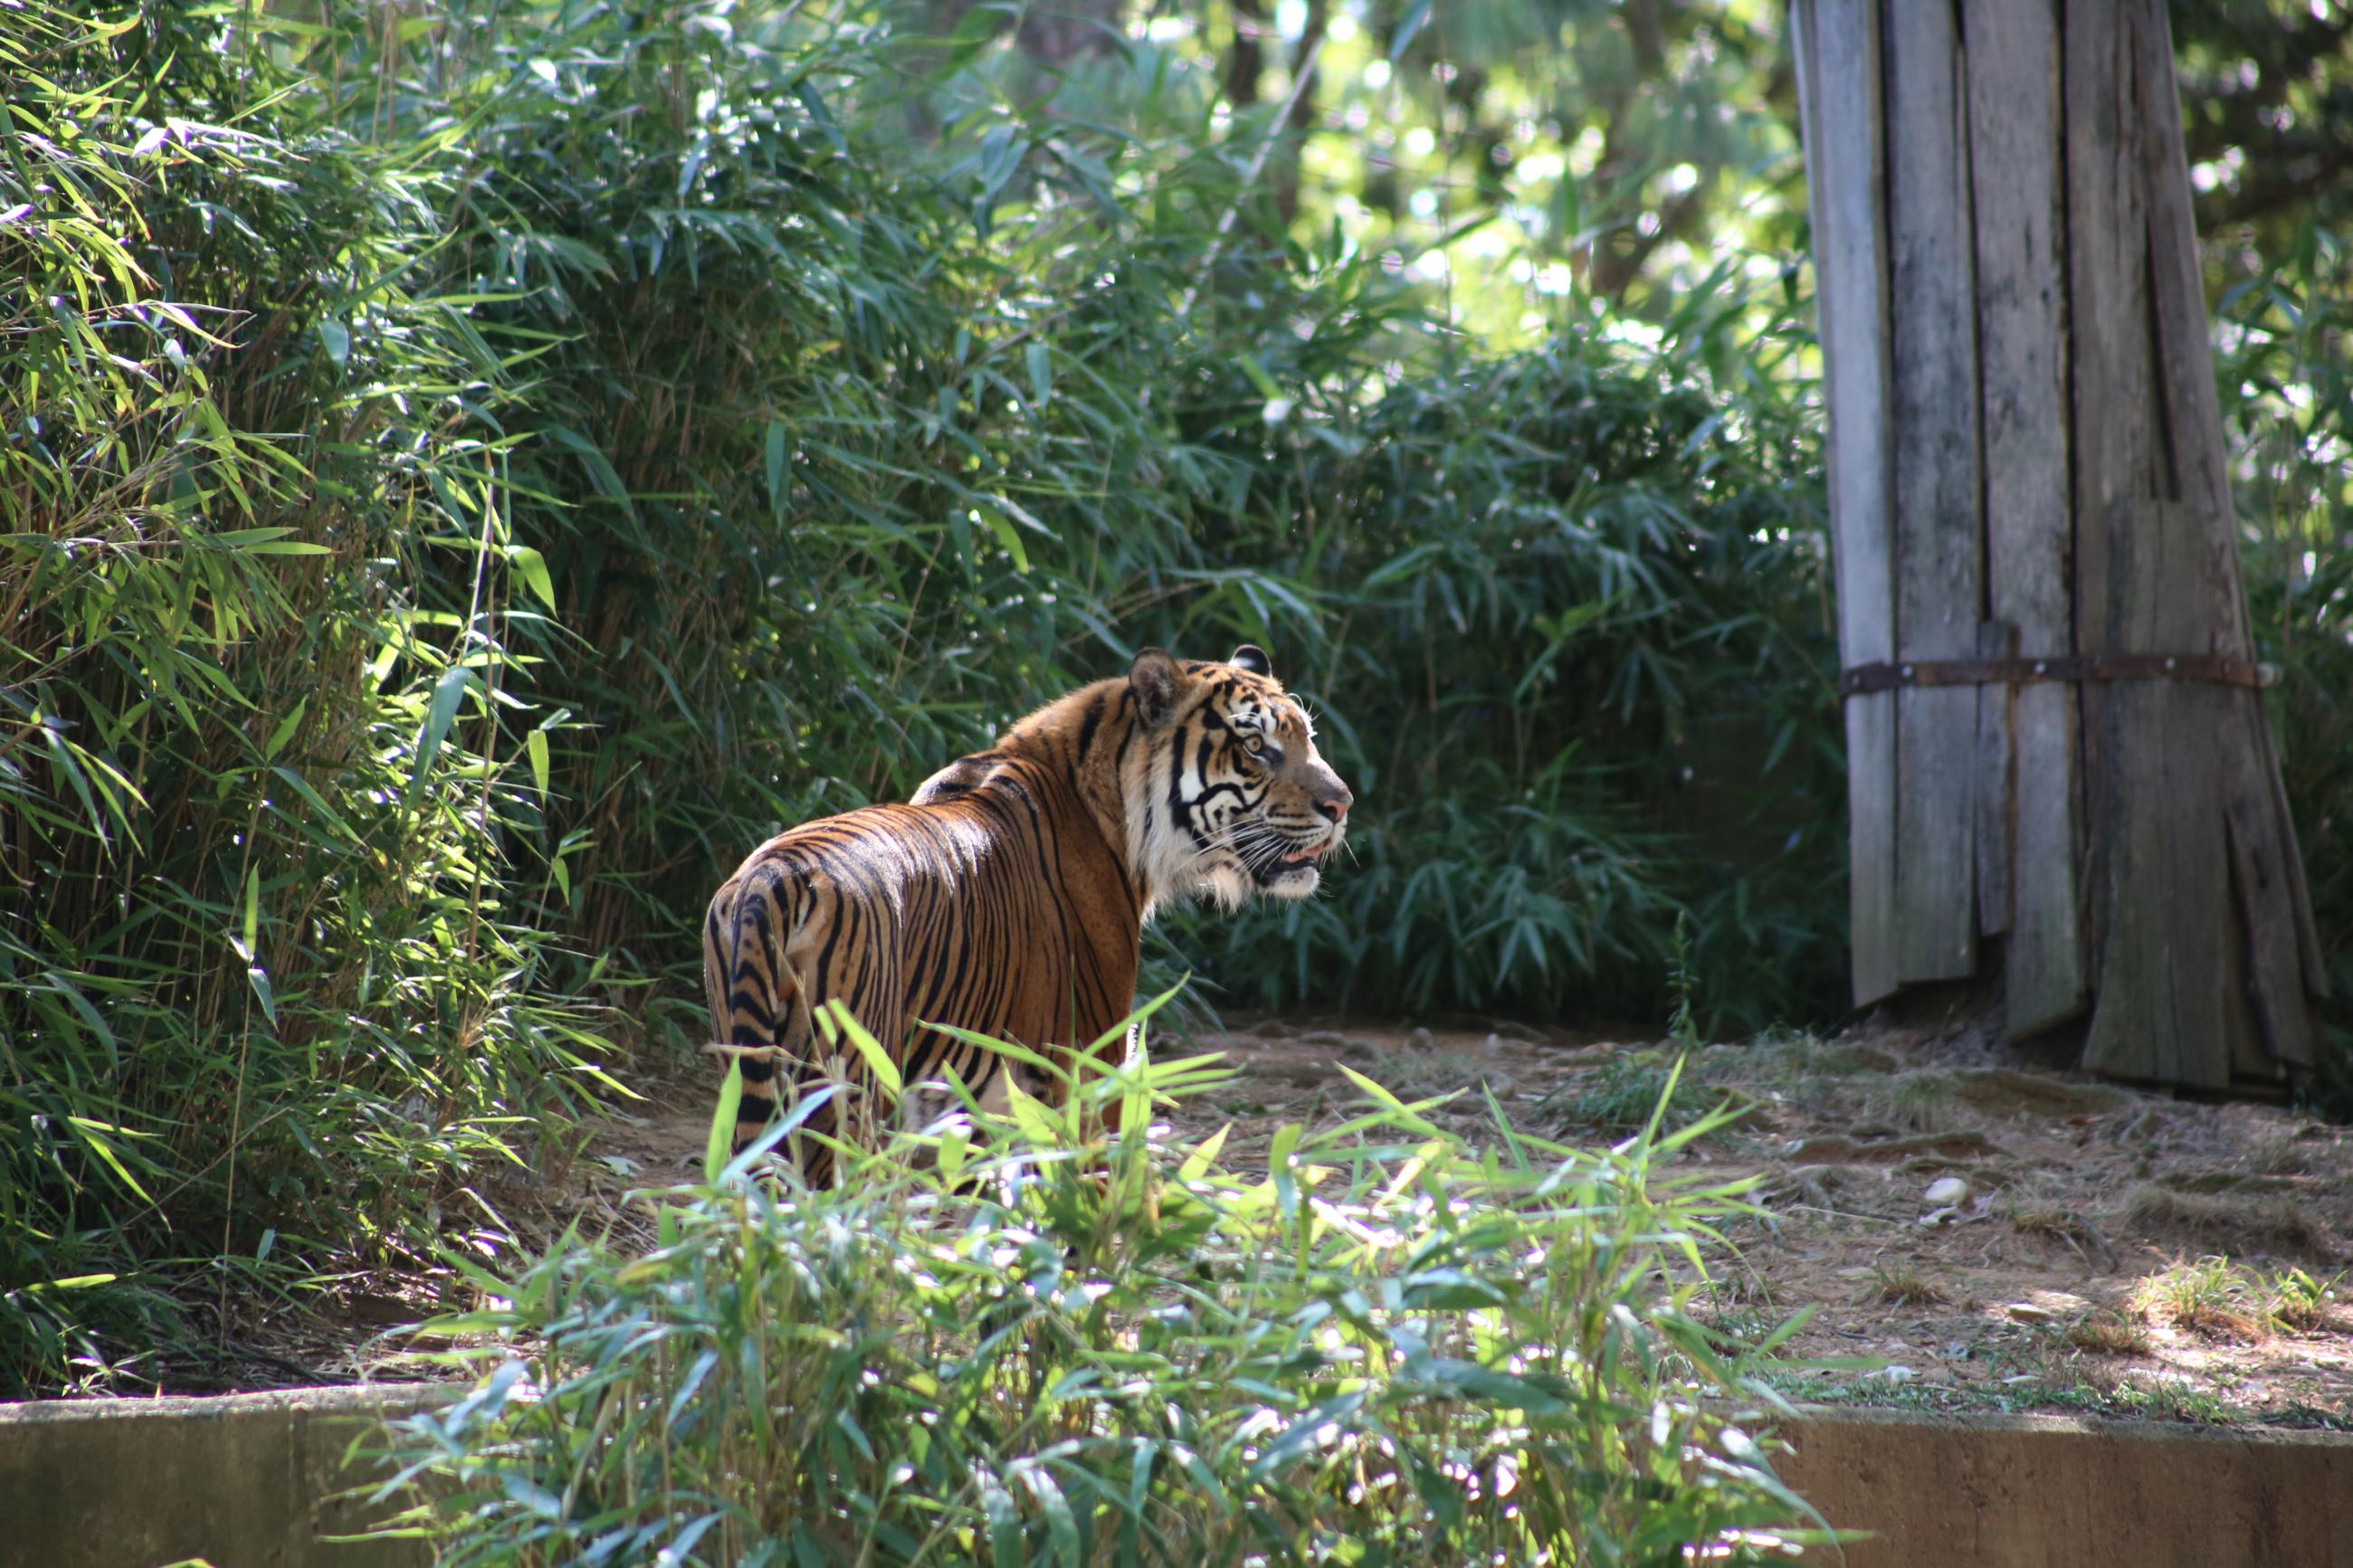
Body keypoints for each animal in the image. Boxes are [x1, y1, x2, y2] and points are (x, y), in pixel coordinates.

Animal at [696, 639, 1355, 1175]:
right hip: (846, 1087)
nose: (1342, 803)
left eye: (1307, 737)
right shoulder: (1088, 1064)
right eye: (1255, 746)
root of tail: (773, 878)